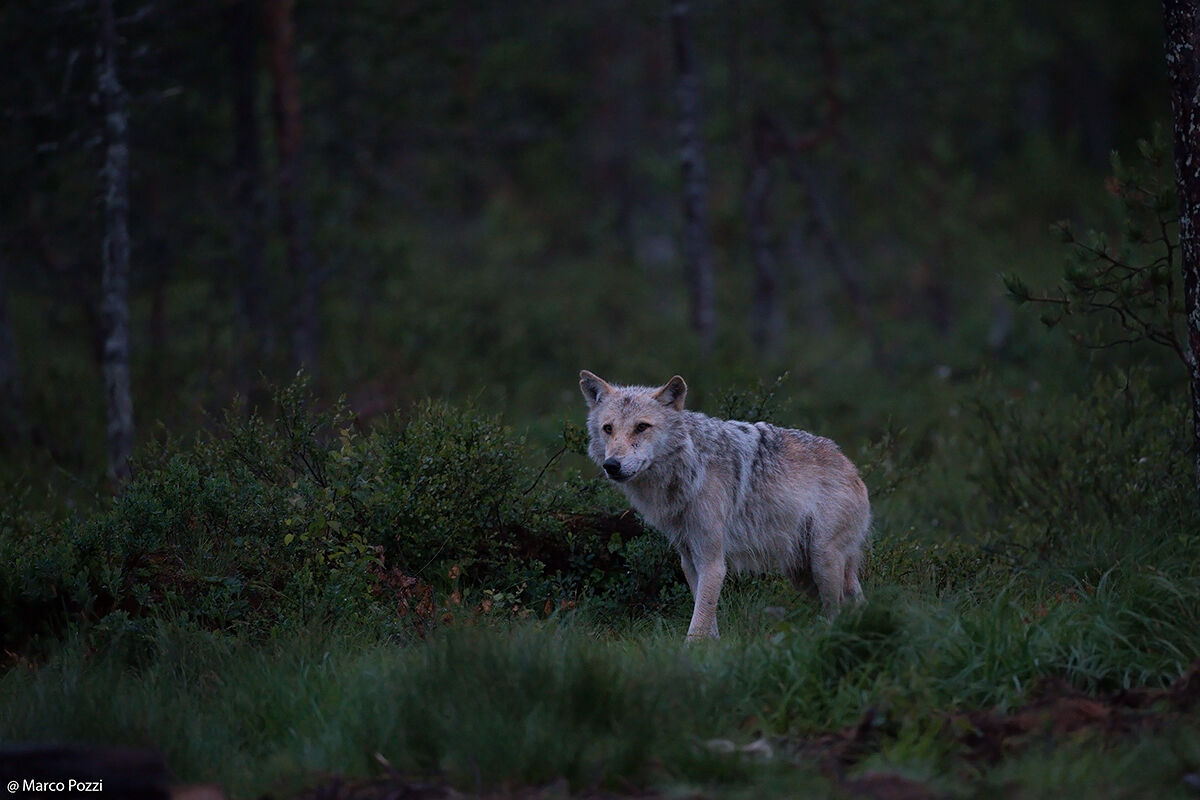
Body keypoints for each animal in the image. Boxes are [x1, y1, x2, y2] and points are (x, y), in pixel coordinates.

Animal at [579, 370, 870, 640]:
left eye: (641, 427)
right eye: (608, 428)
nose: (611, 465)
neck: (690, 470)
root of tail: (849, 463)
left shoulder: (713, 562)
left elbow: (698, 623)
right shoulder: (689, 560)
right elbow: (708, 619)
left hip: (822, 561)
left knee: (837, 609)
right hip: (800, 573)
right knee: (854, 601)